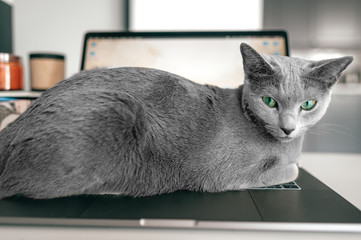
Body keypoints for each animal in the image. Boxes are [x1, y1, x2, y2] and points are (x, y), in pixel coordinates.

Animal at [0, 42, 350, 199]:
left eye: (308, 104)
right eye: (269, 102)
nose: (288, 128)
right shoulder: (224, 174)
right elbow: (290, 170)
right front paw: (288, 167)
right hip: (117, 111)